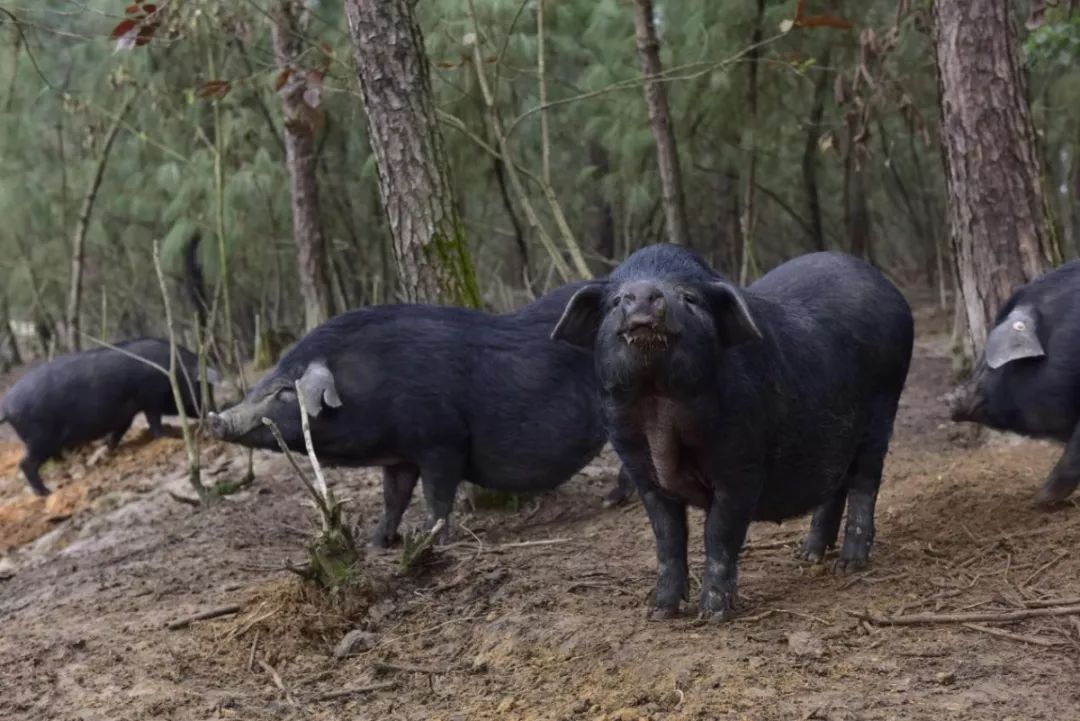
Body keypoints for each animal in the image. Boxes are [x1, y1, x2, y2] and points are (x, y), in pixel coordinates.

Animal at [0, 336, 219, 496]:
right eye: (203, 387)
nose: (215, 412)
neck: (174, 371)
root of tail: (7, 404)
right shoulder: (150, 398)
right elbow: (154, 422)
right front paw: (168, 435)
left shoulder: (127, 412)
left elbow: (120, 431)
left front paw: (107, 449)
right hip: (40, 438)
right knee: (25, 464)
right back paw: (46, 492)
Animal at [552, 246, 915, 621]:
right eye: (614, 302)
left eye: (689, 297)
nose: (641, 292)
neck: (658, 406)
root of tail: (889, 289)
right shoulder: (641, 472)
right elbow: (667, 538)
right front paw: (658, 612)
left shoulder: (741, 465)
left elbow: (719, 534)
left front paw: (713, 615)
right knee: (836, 484)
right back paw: (807, 555)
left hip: (884, 404)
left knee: (865, 482)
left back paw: (849, 564)